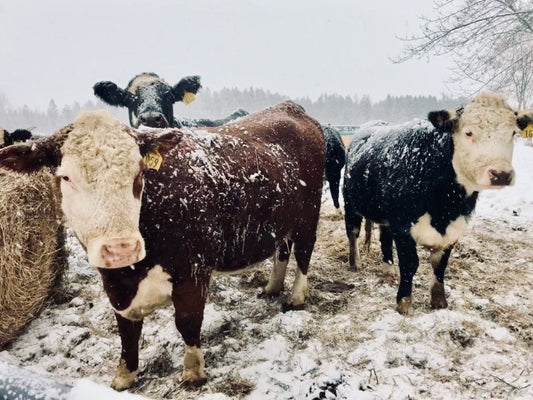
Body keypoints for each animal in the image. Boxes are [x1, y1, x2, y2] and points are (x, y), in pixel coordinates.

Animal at [342, 93, 528, 316]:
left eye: (513, 133)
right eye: (468, 132)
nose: (501, 174)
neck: (445, 205)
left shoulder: (453, 228)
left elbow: (440, 265)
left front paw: (439, 300)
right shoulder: (403, 225)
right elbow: (410, 264)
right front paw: (404, 302)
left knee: (384, 236)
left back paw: (388, 268)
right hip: (350, 202)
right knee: (353, 232)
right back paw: (355, 262)